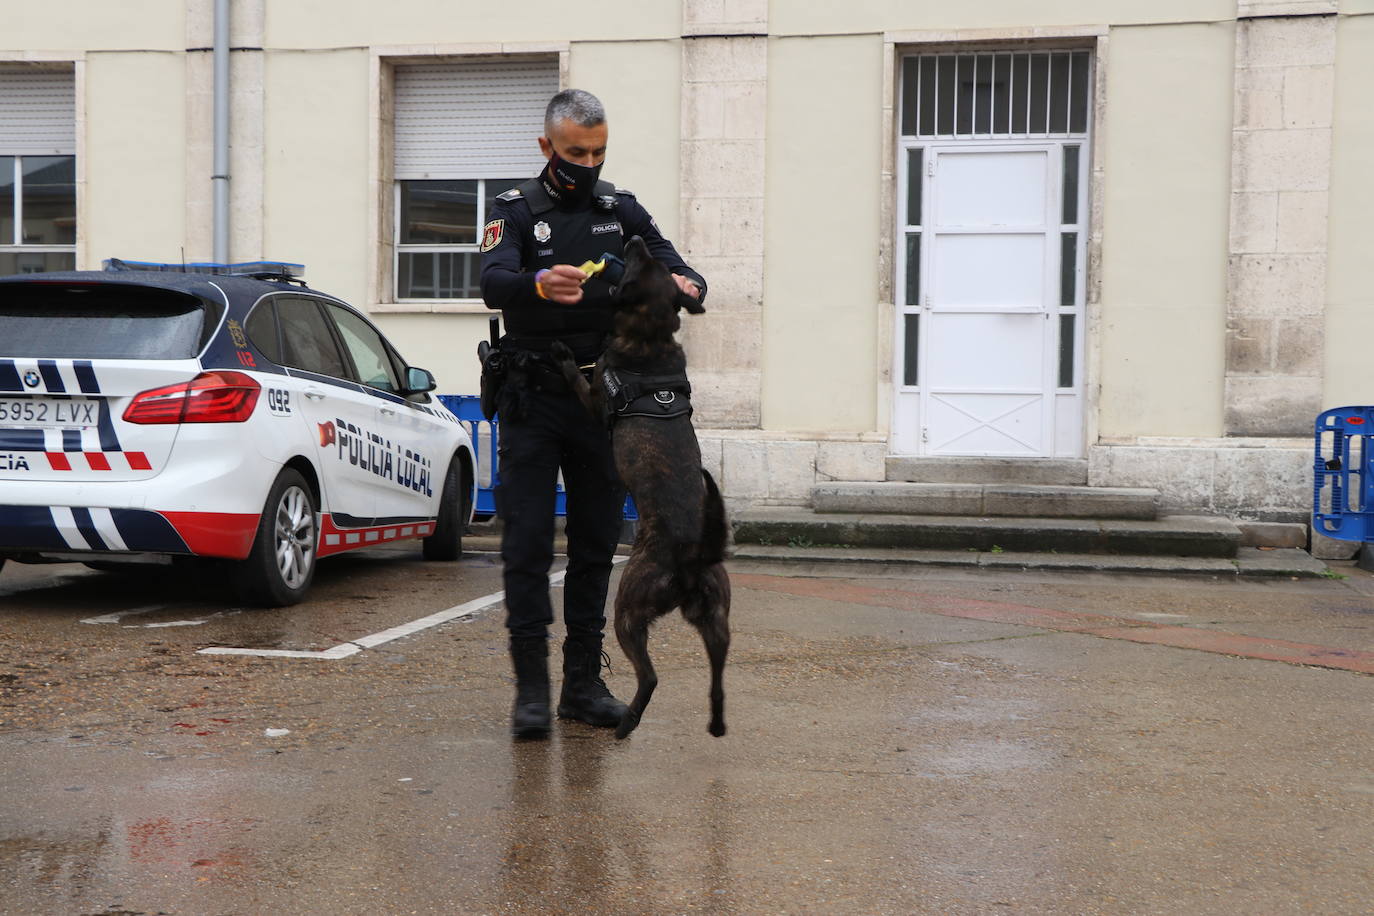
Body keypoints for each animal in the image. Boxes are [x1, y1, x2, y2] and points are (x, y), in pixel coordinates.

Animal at [552, 236, 736, 736]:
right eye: (652, 261)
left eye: (638, 262)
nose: (635, 238)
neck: (651, 335)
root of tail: (692, 557)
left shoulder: (595, 397)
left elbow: (578, 377)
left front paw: (563, 357)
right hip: (717, 621)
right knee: (718, 679)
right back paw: (716, 723)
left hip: (627, 611)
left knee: (650, 677)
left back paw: (628, 721)